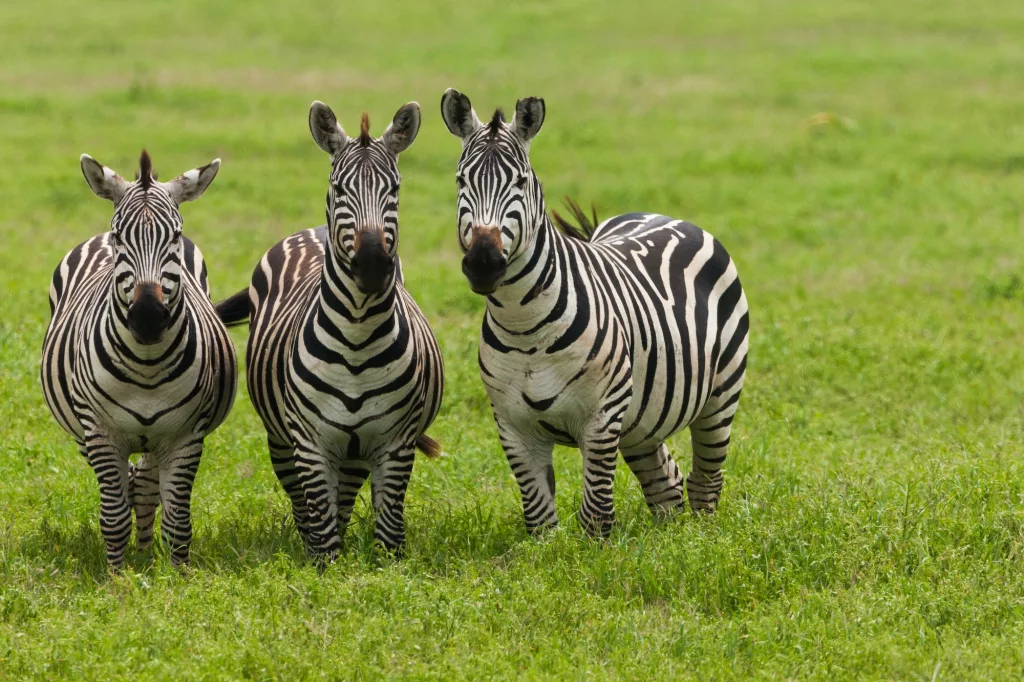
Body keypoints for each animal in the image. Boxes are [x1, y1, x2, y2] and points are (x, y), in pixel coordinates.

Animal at [39, 150, 235, 569]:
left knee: (144, 485)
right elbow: (113, 516)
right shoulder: (99, 432)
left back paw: (145, 555)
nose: (147, 317)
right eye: (119, 237)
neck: (146, 365)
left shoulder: (186, 436)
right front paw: (117, 576)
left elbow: (178, 518)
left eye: (174, 236)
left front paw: (176, 575)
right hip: (80, 429)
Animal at [214, 99, 442, 557]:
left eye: (395, 189)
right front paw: (324, 566)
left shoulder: (396, 442)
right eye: (338, 189)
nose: (372, 265)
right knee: (306, 504)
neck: (357, 337)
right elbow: (321, 535)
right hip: (282, 440)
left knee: (344, 497)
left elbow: (389, 533)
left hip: (354, 452)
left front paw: (383, 567)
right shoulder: (309, 443)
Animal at [436, 91, 749, 536]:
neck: (524, 327)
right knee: (666, 483)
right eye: (461, 182)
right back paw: (672, 540)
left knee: (705, 479)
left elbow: (596, 516)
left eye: (521, 182)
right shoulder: (512, 426)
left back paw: (702, 540)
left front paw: (597, 553)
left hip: (720, 396)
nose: (483, 263)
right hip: (642, 419)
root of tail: (664, 215)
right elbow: (539, 518)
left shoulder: (602, 416)